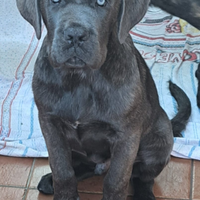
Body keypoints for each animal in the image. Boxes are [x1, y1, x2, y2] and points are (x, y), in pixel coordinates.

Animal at [16, 0, 191, 200]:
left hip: (161, 140)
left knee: (143, 178)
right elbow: (62, 169)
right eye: (54, 1)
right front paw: (64, 192)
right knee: (83, 167)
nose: (75, 35)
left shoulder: (126, 135)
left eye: (101, 2)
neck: (80, 79)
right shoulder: (50, 124)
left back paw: (144, 194)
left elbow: (116, 180)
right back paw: (50, 181)